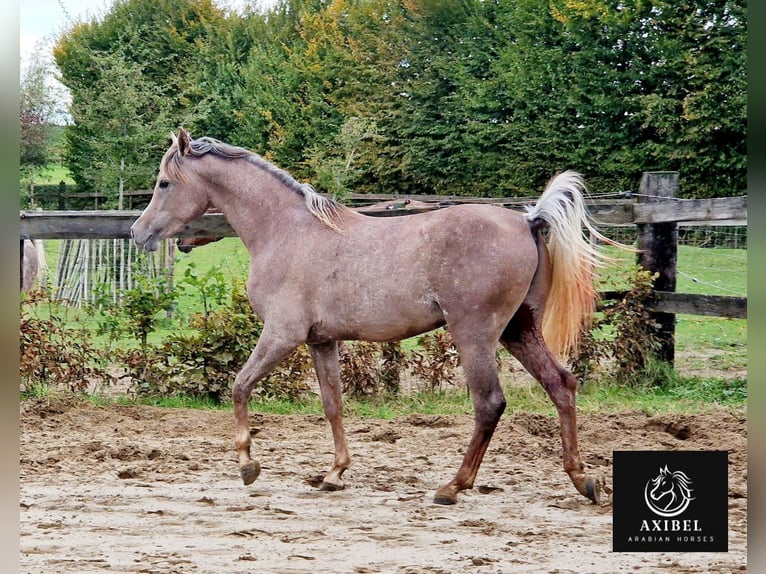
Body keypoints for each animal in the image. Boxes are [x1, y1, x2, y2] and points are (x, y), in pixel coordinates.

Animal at [134, 128, 624, 506]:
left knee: (490, 403)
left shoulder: (281, 335)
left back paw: (452, 487)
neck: (287, 230)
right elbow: (332, 404)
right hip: (518, 330)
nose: (139, 233)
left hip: (475, 334)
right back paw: (583, 480)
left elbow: (239, 386)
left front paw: (248, 464)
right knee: (561, 384)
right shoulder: (321, 341)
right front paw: (334, 474)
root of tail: (528, 220)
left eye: (163, 183)